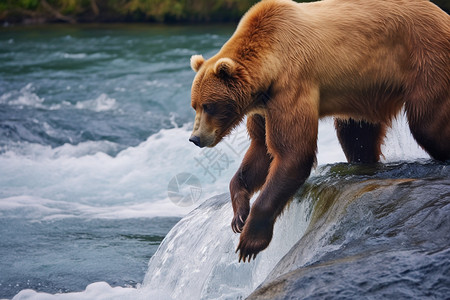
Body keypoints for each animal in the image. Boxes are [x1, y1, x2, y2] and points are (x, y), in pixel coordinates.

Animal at [187, 0, 450, 262]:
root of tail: (441, 15)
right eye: (195, 105)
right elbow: (261, 150)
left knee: (427, 124)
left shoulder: (291, 86)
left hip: (424, 59)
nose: (195, 138)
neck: (269, 69)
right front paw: (239, 214)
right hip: (366, 90)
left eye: (209, 105)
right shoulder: (263, 107)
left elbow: (293, 153)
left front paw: (250, 241)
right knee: (355, 135)